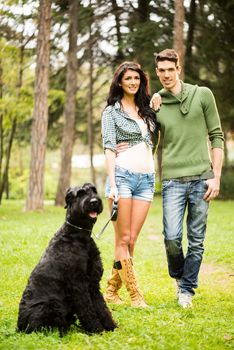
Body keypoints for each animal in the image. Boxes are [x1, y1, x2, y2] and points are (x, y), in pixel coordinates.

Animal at [16, 183, 117, 334]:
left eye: (93, 190)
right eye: (80, 193)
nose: (94, 201)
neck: (77, 235)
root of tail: (19, 326)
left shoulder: (93, 283)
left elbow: (101, 307)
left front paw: (111, 326)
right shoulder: (78, 285)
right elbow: (87, 309)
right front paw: (96, 329)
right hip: (51, 305)